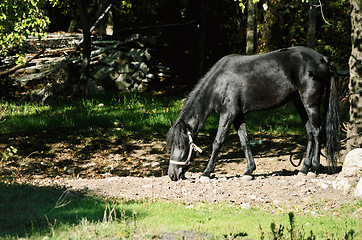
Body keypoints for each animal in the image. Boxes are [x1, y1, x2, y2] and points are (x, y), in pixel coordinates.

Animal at [167, 46, 340, 182]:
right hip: (300, 103)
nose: (172, 175)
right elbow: (244, 141)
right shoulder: (237, 116)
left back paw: (314, 168)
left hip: (311, 103)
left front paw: (206, 173)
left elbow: (217, 142)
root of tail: (323, 59)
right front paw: (249, 171)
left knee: (317, 131)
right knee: (310, 133)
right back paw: (303, 169)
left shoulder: (227, 114)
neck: (219, 82)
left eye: (181, 145)